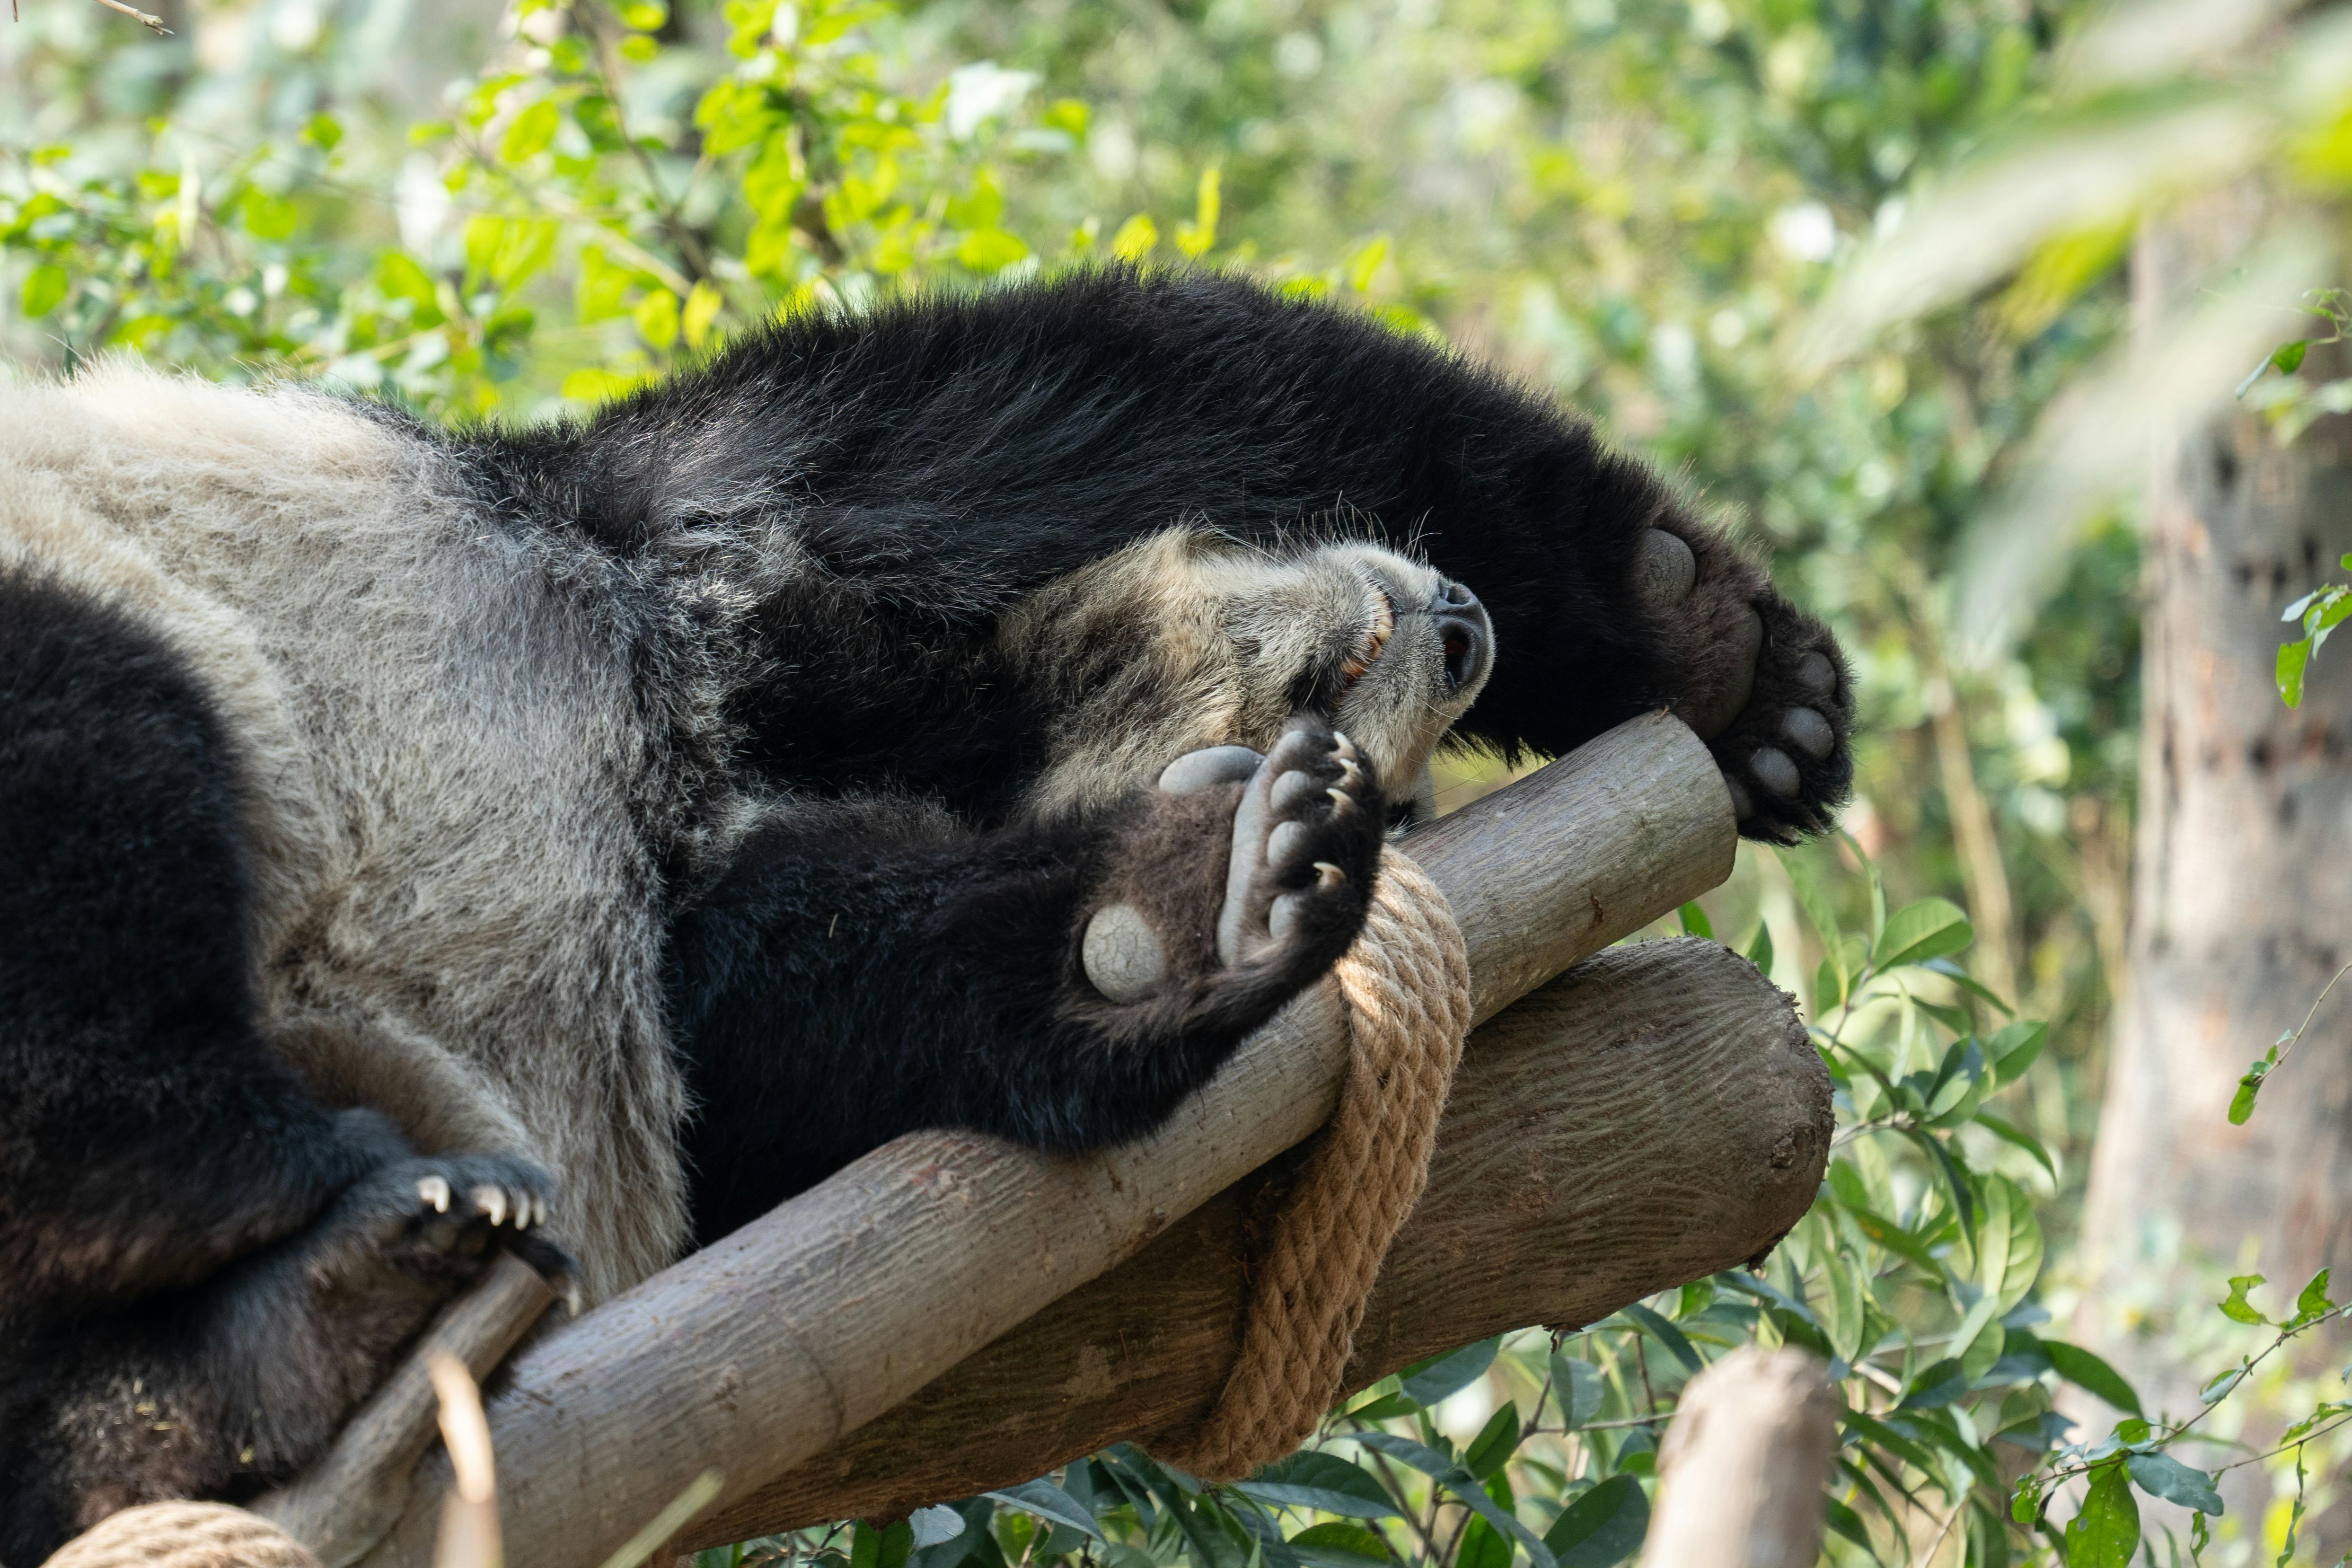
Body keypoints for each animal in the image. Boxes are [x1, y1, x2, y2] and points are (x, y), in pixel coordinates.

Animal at [0, 267, 1850, 1559]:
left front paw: (1184, 913)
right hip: (122, 622)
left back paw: (301, 1329)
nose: (1458, 631)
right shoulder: (695, 544)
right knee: (106, 783)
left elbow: (840, 1003)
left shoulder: (697, 966)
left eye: (1401, 798)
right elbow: (1141, 391)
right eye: (1336, 685)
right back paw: (263, 1181)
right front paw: (1712, 640)